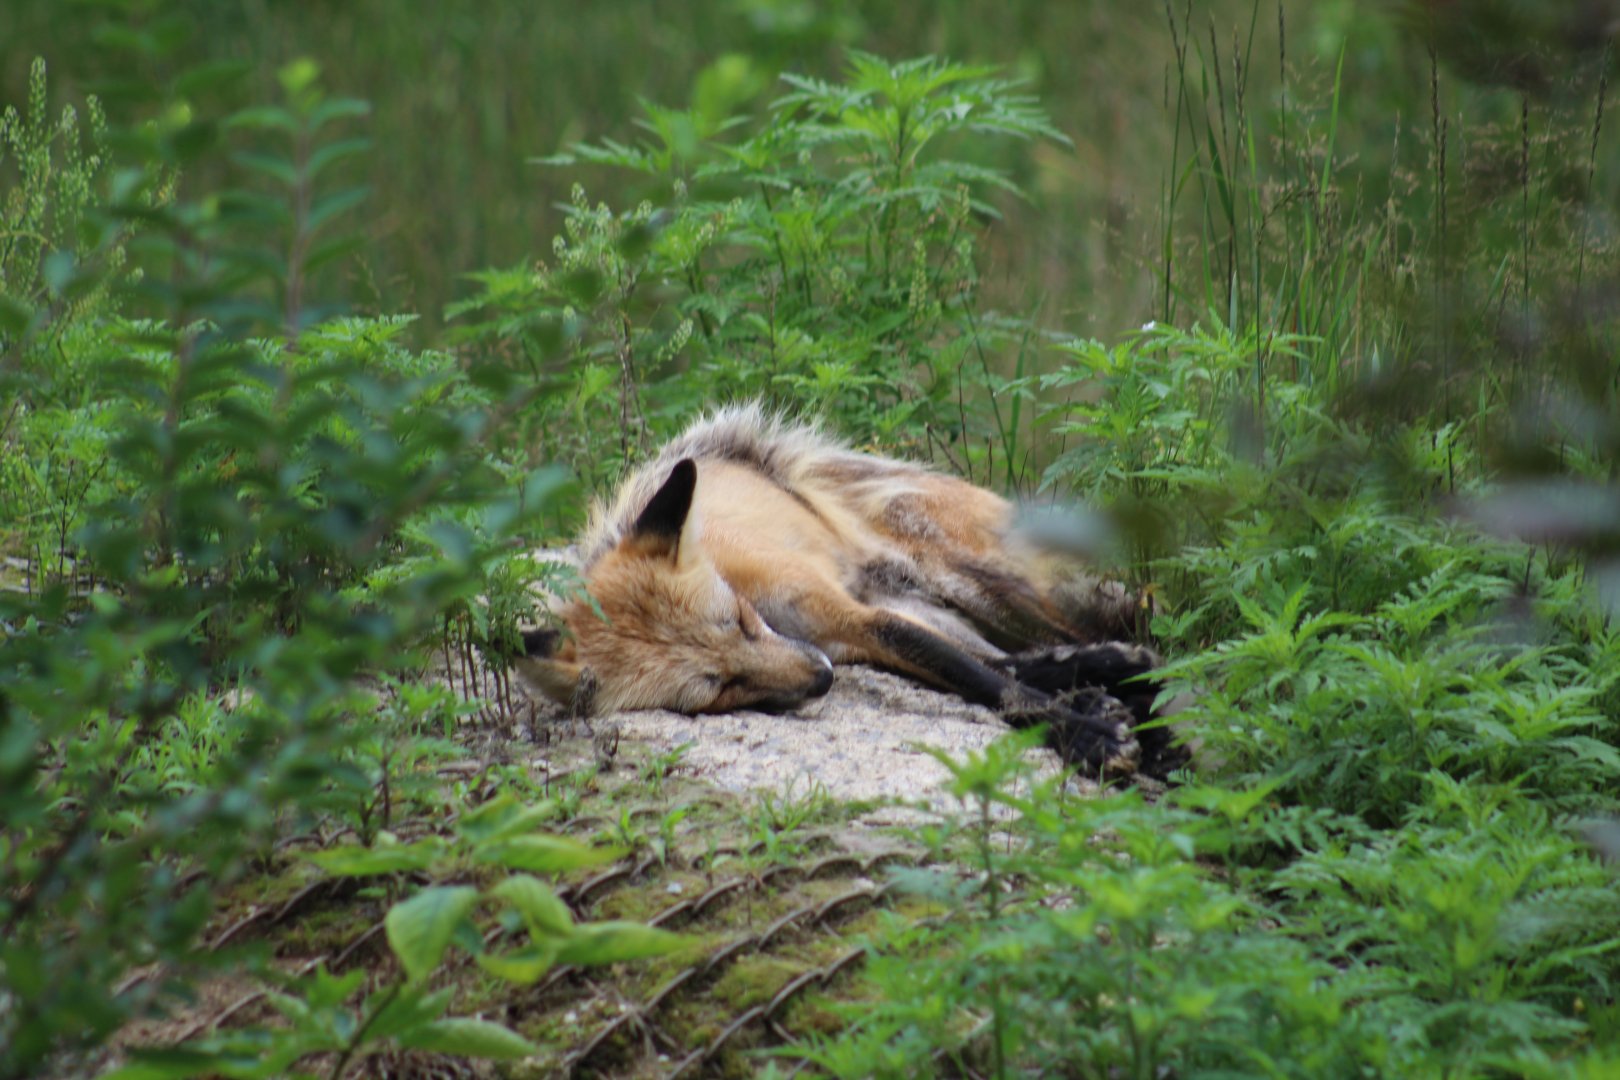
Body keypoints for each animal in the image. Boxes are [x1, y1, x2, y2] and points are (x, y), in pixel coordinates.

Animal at [517, 404, 1179, 776]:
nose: (821, 680)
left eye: (740, 621)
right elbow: (995, 677)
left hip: (977, 583)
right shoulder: (852, 634)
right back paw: (1114, 682)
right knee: (1030, 652)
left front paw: (1093, 734)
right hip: (913, 599)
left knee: (1104, 625)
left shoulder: (845, 616)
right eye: (717, 688)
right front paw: (1093, 719)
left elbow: (983, 680)